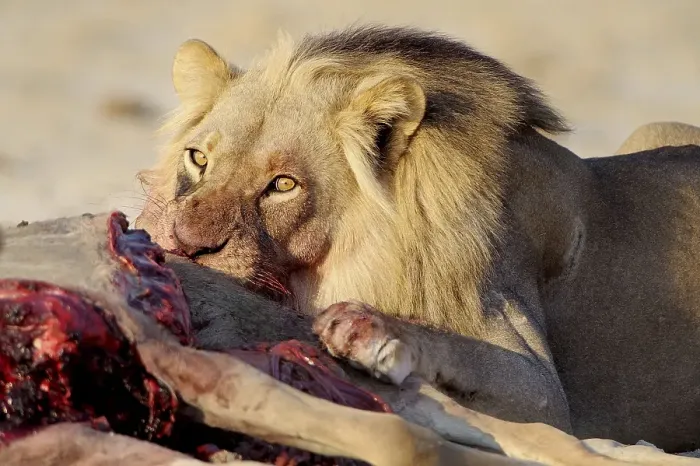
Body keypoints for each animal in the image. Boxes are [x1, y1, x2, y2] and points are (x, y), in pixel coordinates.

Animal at [135, 26, 700, 452]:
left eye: (283, 185)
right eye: (198, 158)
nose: (185, 246)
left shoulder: (544, 391)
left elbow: (464, 349)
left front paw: (370, 332)